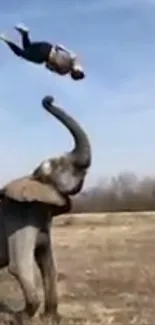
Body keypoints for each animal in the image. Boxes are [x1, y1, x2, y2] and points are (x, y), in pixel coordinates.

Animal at [0, 95, 91, 322]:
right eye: (61, 164)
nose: (48, 98)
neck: (34, 177)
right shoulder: (20, 215)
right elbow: (18, 266)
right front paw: (20, 318)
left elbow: (48, 264)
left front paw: (50, 318)